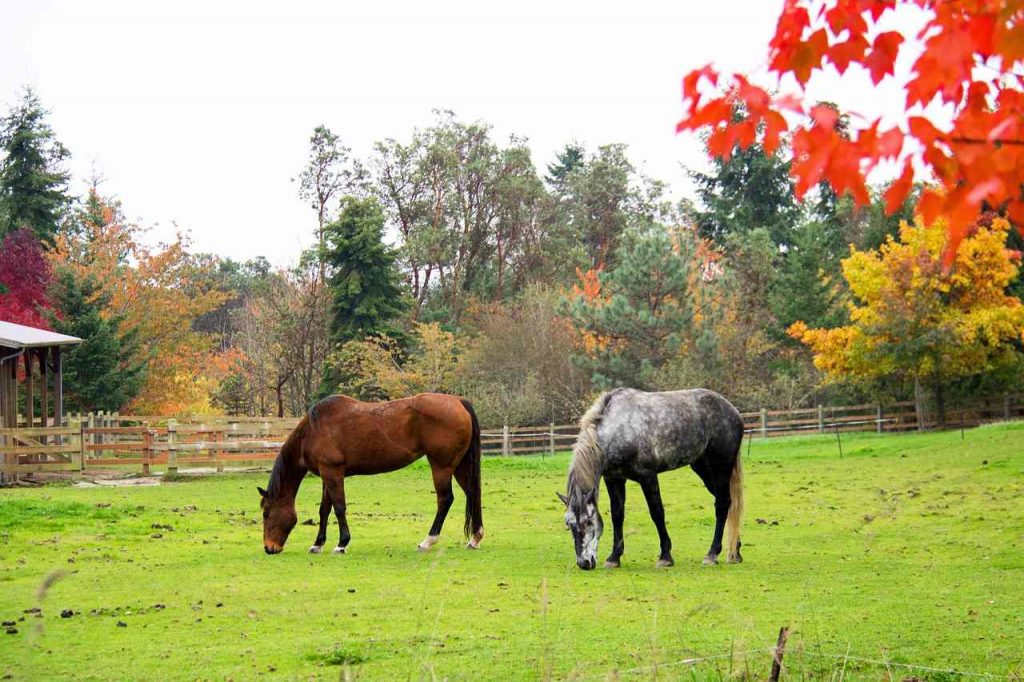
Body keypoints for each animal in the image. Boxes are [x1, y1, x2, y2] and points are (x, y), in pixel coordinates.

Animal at [253, 393, 481, 552]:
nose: (269, 548)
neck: (313, 431)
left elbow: (339, 507)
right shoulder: (327, 475)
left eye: (266, 513)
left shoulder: (333, 473)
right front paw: (318, 544)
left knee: (445, 499)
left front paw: (342, 543)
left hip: (441, 466)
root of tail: (458, 401)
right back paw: (475, 538)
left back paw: (428, 540)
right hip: (459, 466)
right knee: (472, 494)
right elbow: (324, 510)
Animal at [561, 387, 745, 569]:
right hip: (703, 469)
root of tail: (732, 411)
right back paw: (735, 552)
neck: (618, 428)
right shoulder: (614, 478)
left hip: (721, 467)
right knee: (730, 503)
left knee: (722, 504)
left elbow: (657, 512)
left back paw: (712, 554)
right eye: (568, 524)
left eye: (588, 522)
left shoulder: (648, 476)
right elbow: (617, 515)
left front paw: (665, 556)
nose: (584, 563)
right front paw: (614, 557)